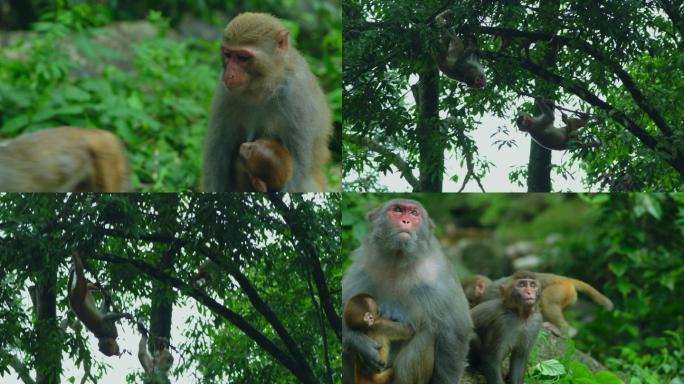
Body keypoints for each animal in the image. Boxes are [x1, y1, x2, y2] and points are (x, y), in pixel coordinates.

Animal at [202, 12, 332, 192]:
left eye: (243, 57)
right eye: (228, 55)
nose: (230, 74)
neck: (266, 87)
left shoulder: (297, 96)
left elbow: (297, 167)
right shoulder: (225, 91)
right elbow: (218, 156)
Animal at [464, 272, 616, 334]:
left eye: (470, 300)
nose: (470, 304)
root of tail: (567, 280)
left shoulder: (488, 296)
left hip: (560, 290)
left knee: (547, 299)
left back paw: (562, 329)